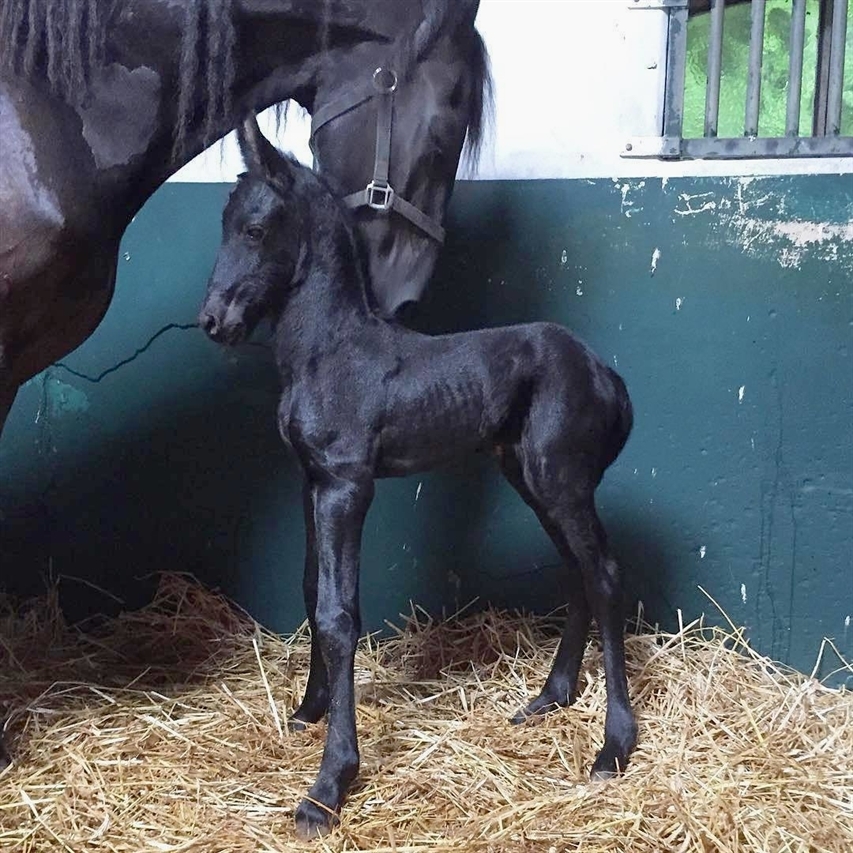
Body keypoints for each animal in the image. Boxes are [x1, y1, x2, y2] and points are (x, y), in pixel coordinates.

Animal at [200, 120, 636, 840]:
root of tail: (609, 376)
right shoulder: (310, 480)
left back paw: (614, 744)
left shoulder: (348, 484)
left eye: (257, 229)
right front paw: (309, 708)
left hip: (560, 480)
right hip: (529, 478)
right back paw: (549, 697)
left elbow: (339, 613)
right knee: (579, 571)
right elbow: (311, 591)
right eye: (223, 223)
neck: (329, 350)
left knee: (602, 573)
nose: (214, 321)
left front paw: (329, 784)